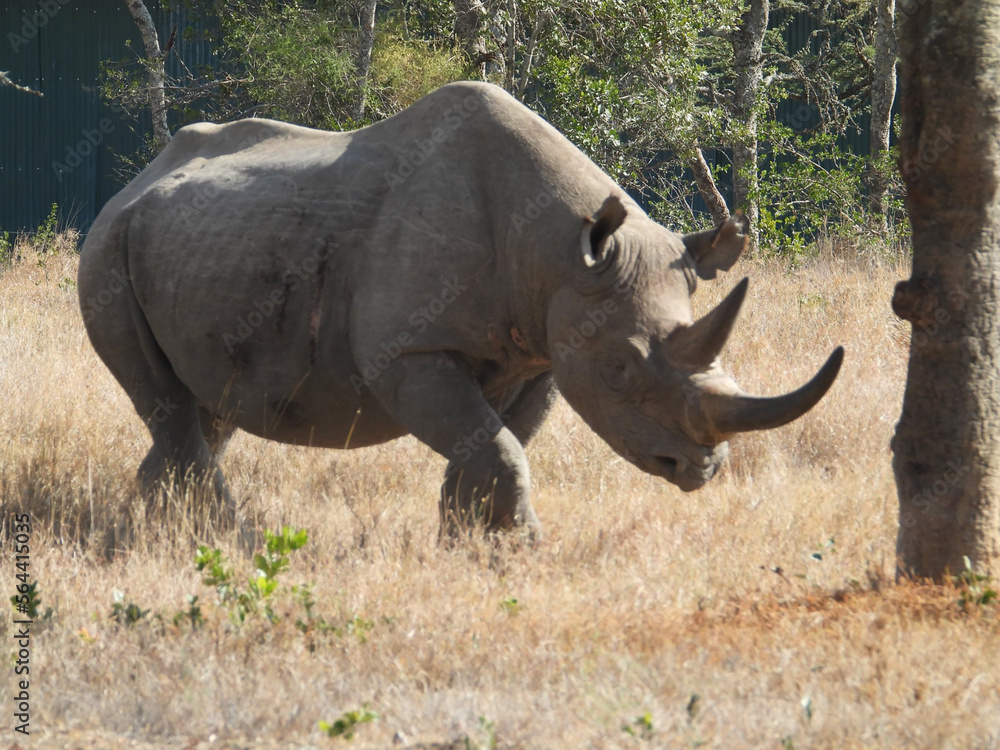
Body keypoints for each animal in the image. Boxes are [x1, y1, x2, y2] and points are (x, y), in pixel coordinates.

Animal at [78, 81, 842, 540]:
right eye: (621, 369)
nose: (701, 470)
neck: (559, 254)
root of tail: (134, 181)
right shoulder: (407, 351)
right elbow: (496, 446)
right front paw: (521, 551)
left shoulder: (540, 351)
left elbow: (496, 444)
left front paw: (471, 545)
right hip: (106, 250)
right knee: (173, 406)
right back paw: (231, 543)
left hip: (193, 248)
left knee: (204, 409)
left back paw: (141, 537)